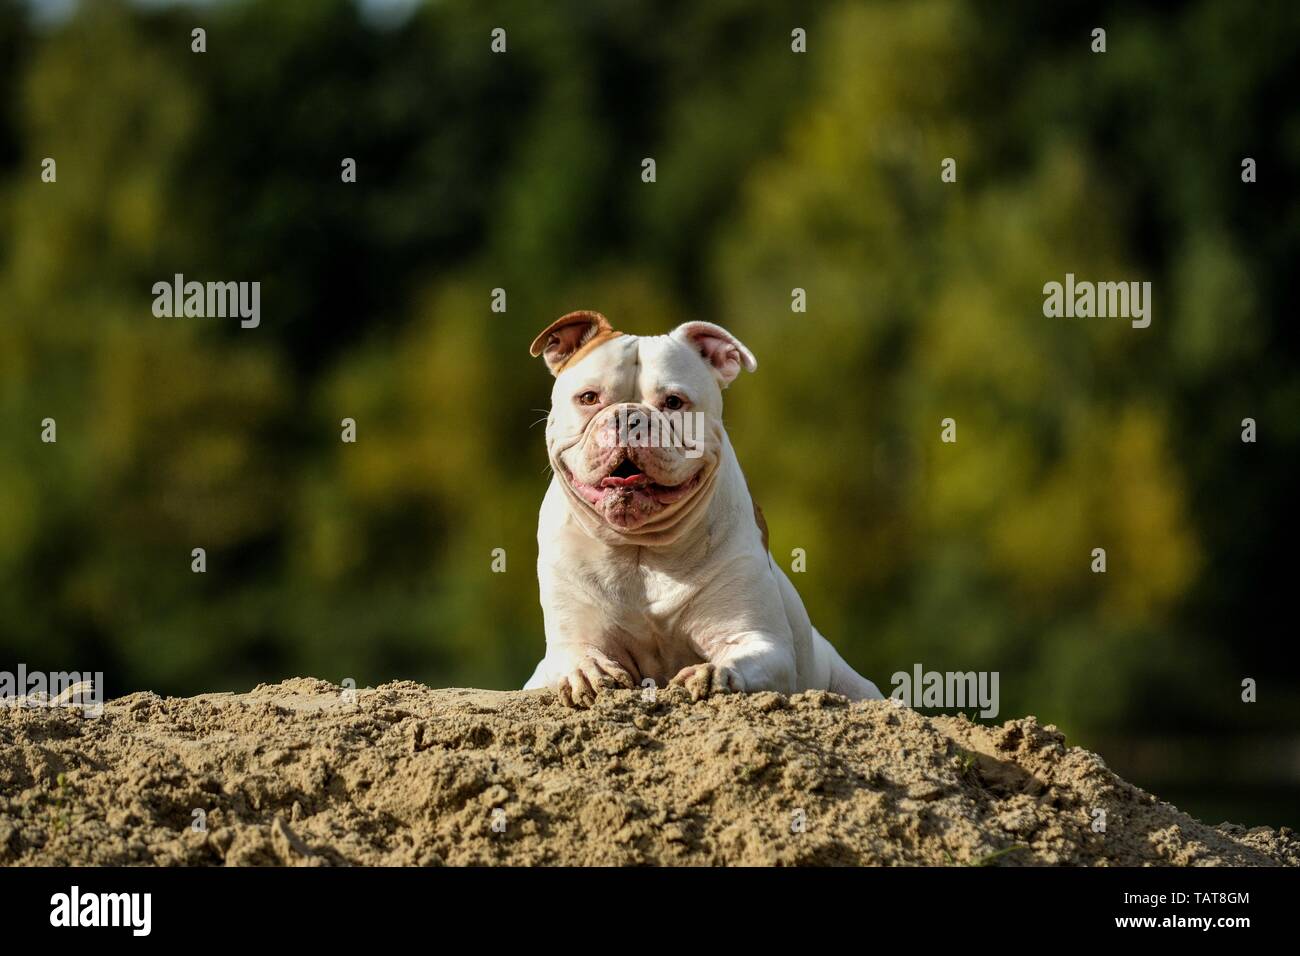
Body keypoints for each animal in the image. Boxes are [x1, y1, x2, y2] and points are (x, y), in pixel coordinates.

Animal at [525, 314, 883, 712]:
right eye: (589, 398)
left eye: (674, 402)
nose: (630, 418)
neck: (641, 548)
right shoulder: (568, 638)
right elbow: (574, 655)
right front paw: (587, 672)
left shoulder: (761, 640)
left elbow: (741, 656)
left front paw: (713, 673)